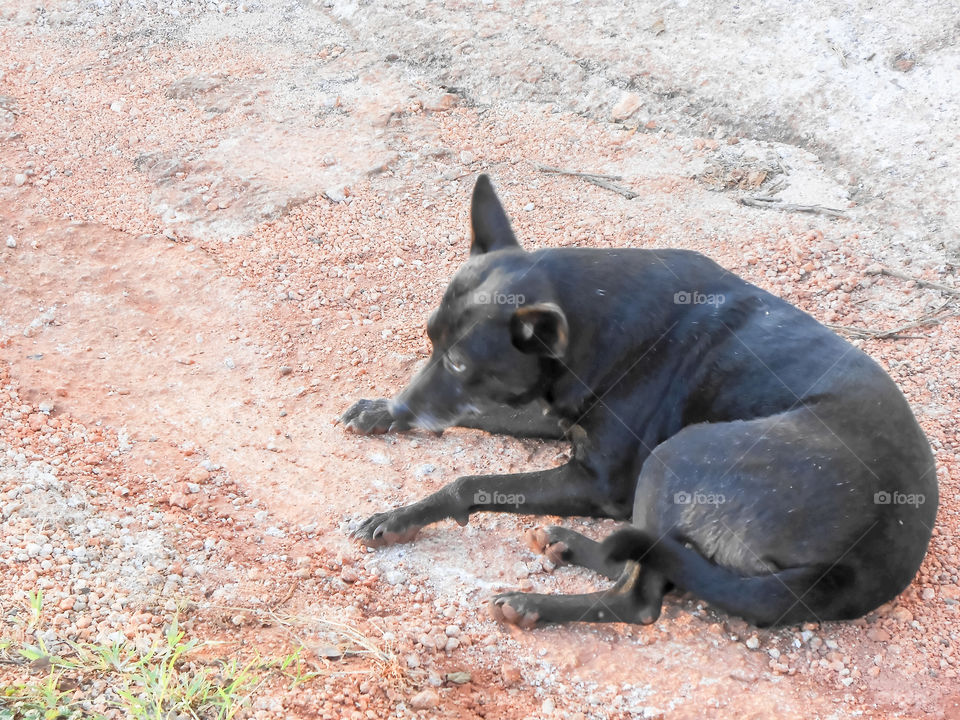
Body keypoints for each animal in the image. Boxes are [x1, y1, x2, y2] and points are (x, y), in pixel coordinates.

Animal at [344, 176, 936, 632]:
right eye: (430, 340)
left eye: (460, 364)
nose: (407, 408)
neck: (594, 321)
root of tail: (856, 567)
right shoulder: (556, 409)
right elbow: (490, 415)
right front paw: (381, 411)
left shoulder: (598, 481)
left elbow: (468, 483)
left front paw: (403, 515)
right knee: (649, 557)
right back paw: (565, 544)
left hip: (676, 456)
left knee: (641, 596)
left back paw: (536, 602)